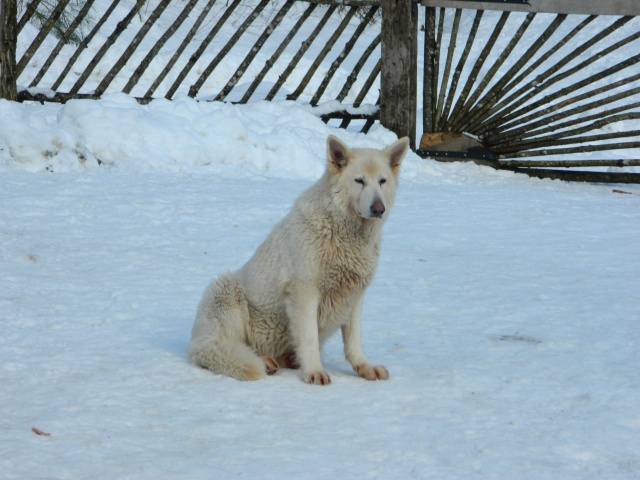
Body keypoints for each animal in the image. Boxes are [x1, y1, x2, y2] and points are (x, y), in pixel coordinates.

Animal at [190, 135, 410, 386]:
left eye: (382, 181)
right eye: (359, 181)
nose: (378, 208)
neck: (344, 232)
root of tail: (196, 342)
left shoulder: (355, 296)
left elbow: (354, 342)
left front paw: (364, 368)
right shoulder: (304, 293)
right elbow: (309, 338)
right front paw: (314, 371)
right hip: (226, 291)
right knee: (225, 347)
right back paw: (263, 361)